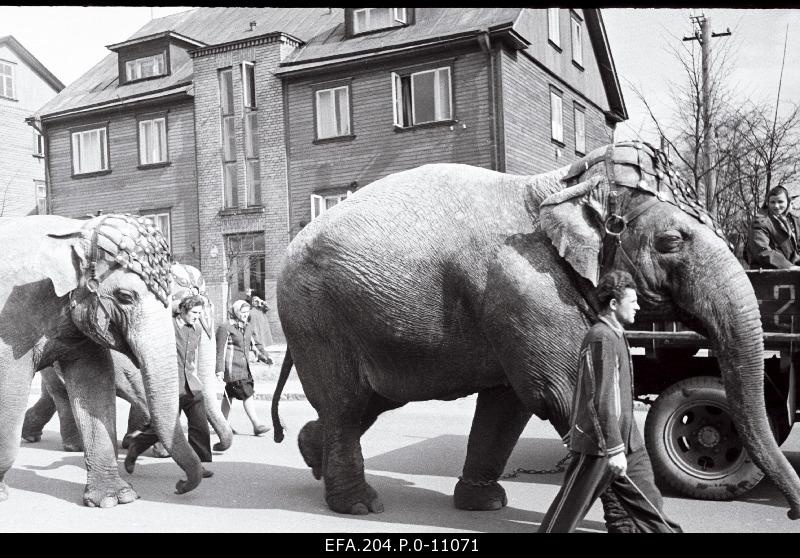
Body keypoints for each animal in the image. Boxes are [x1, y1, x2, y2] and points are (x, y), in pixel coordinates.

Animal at [0, 213, 205, 508]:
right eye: (125, 297)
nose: (179, 485)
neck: (74, 232)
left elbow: (94, 382)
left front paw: (115, 498)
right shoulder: (12, 321)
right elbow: (10, 390)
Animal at [268, 140, 800, 520]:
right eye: (672, 241)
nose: (794, 510)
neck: (557, 187)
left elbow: (509, 403)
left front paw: (486, 506)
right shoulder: (527, 285)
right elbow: (562, 394)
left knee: (366, 404)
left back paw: (311, 455)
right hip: (316, 318)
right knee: (346, 405)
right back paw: (358, 504)